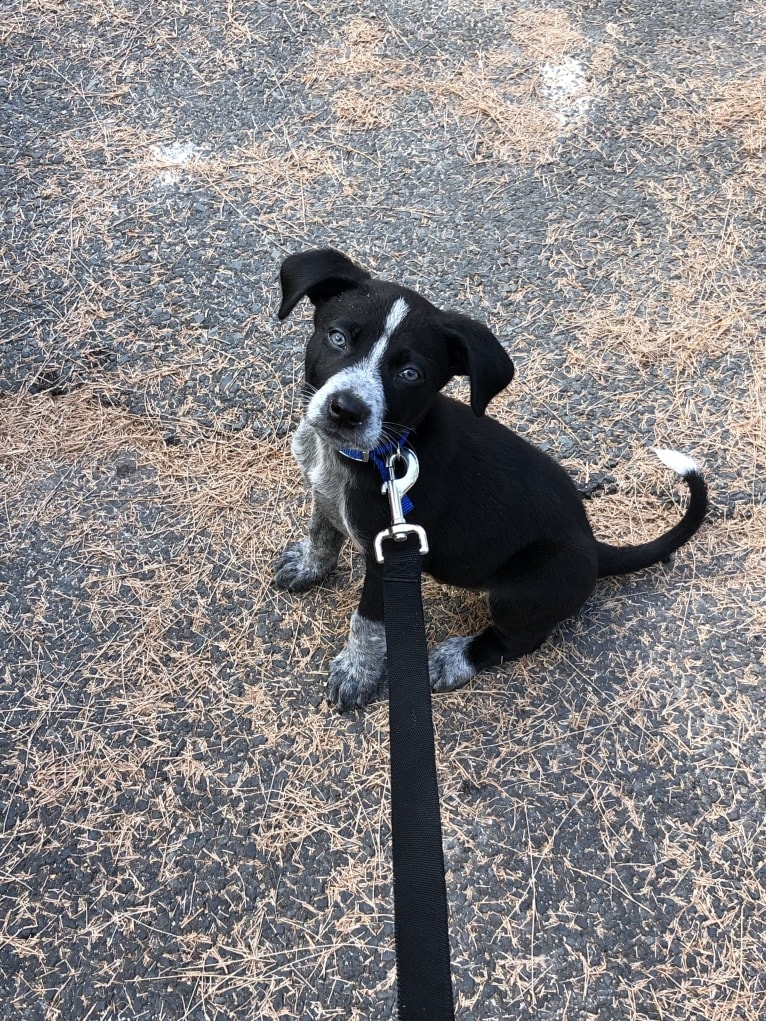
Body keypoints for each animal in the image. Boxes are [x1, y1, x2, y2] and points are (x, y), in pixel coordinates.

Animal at [273, 247, 706, 710]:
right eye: (338, 337)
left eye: (411, 374)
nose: (346, 410)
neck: (379, 452)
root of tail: (593, 546)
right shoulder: (324, 493)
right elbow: (322, 531)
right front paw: (309, 565)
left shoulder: (389, 554)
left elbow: (368, 621)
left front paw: (358, 672)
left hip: (524, 587)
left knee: (522, 639)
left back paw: (456, 658)